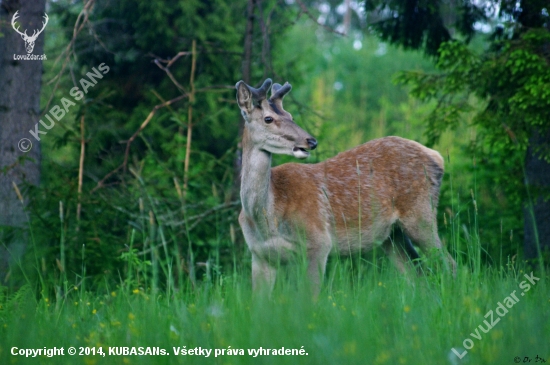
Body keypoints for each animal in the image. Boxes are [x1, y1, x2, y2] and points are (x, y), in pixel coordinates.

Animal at [237, 78, 458, 294]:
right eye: (268, 119)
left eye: (290, 115)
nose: (311, 141)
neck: (267, 217)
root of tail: (437, 157)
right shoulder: (259, 255)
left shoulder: (318, 242)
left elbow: (310, 298)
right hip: (391, 236)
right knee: (417, 272)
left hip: (421, 213)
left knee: (449, 264)